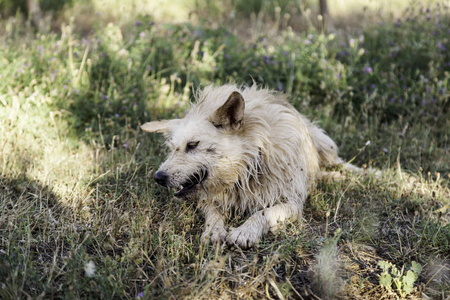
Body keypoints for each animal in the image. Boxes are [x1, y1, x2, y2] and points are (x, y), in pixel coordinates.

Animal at [142, 84, 368, 248]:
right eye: (172, 148)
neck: (247, 167)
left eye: (192, 145)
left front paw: (245, 231)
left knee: (339, 164)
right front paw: (213, 230)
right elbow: (214, 213)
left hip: (325, 145)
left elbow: (264, 213)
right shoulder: (210, 196)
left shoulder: (292, 202)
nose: (158, 177)